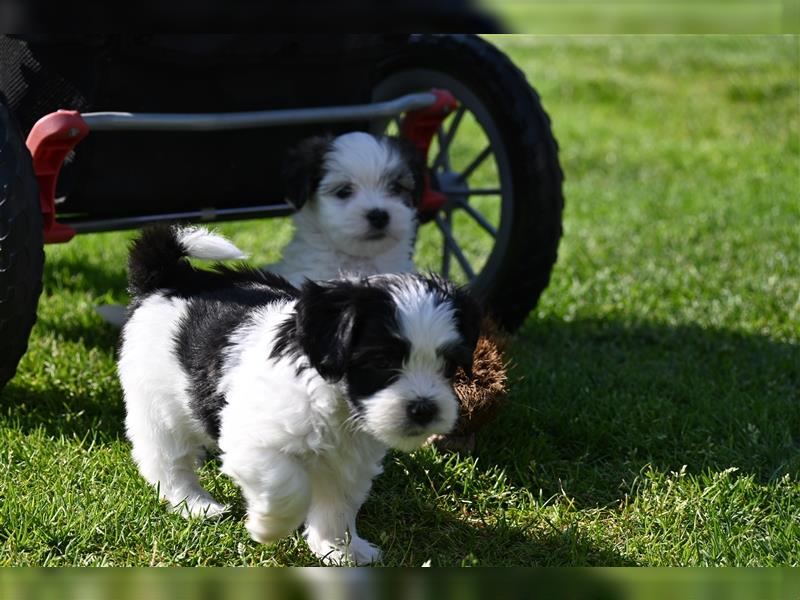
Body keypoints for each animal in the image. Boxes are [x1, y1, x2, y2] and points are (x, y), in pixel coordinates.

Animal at [117, 224, 482, 564]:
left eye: (448, 364)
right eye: (381, 361)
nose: (424, 408)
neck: (334, 398)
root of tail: (171, 277)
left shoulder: (349, 462)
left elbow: (338, 504)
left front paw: (339, 549)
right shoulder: (252, 443)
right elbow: (287, 485)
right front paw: (268, 527)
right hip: (157, 404)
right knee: (166, 460)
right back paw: (195, 504)